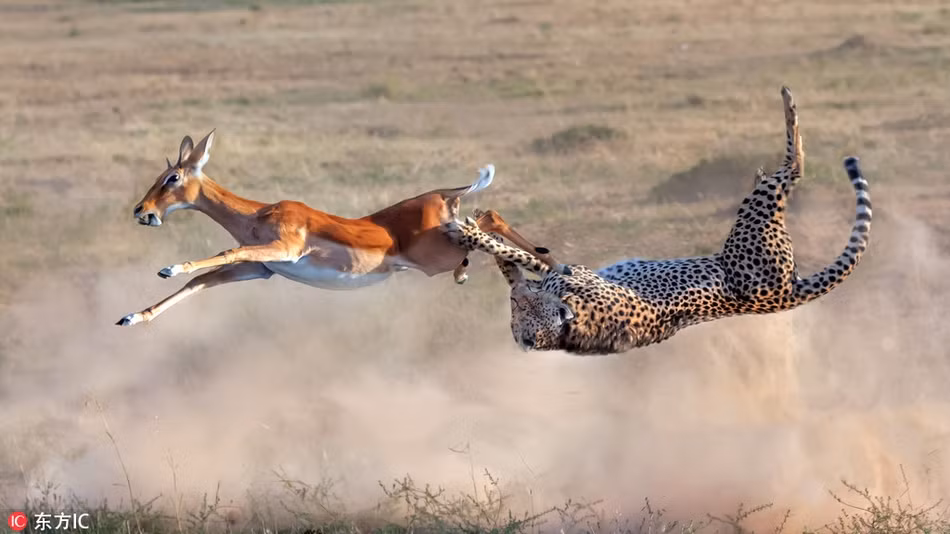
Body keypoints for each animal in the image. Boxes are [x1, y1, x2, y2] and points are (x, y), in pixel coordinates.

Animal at [116, 130, 560, 326]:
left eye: (172, 177)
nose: (142, 211)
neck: (259, 214)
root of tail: (442, 194)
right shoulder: (261, 268)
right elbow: (200, 283)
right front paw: (132, 317)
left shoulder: (283, 251)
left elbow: (224, 252)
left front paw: (169, 267)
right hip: (447, 244)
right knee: (486, 220)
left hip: (440, 250)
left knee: (488, 218)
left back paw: (550, 267)